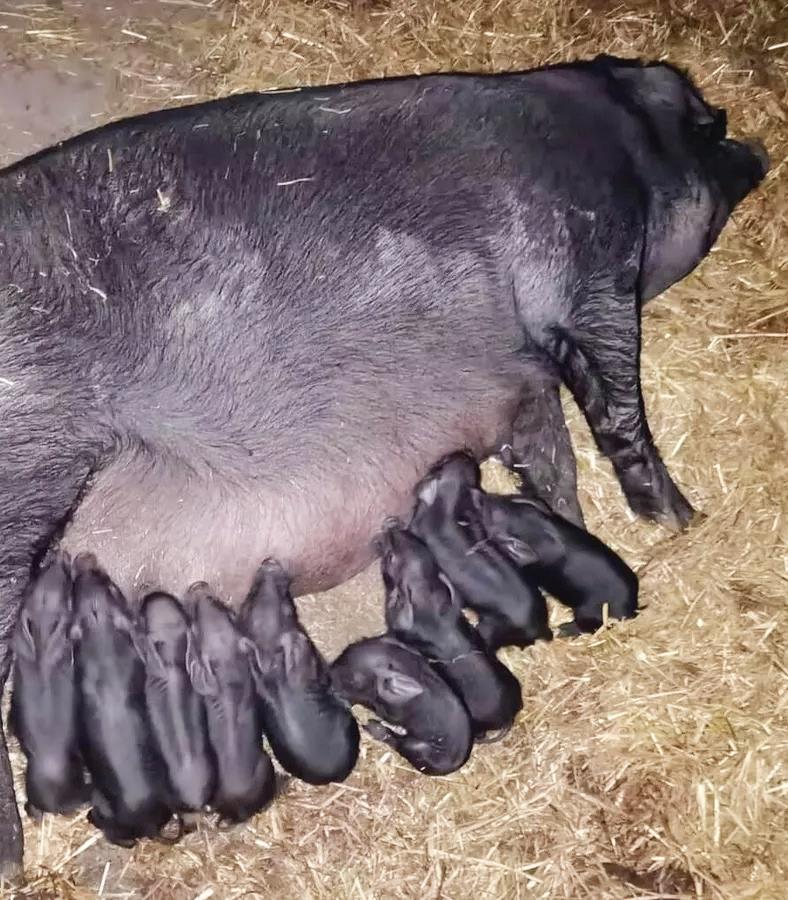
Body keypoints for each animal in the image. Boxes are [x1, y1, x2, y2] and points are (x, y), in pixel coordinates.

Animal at [332, 635, 473, 775]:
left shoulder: (392, 713)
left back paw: (371, 726)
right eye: (345, 650)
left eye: (354, 680)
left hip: (418, 749)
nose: (330, 674)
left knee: (399, 744)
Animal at [408, 452, 553, 650]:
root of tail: (541, 628)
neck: (445, 505)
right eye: (448, 461)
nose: (466, 454)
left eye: (442, 464)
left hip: (491, 629)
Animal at [471, 489, 639, 634]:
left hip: (588, 613)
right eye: (504, 499)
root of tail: (632, 610)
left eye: (492, 516)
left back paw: (563, 630)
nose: (476, 493)